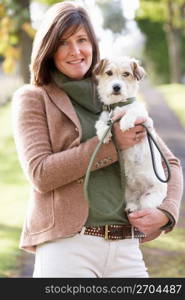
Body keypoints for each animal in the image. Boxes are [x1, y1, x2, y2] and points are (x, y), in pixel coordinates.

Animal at [93, 55, 167, 211]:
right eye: (109, 73)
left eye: (126, 74)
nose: (116, 87)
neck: (118, 105)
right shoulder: (105, 117)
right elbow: (101, 123)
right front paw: (104, 134)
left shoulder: (147, 122)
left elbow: (133, 111)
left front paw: (125, 122)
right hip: (127, 194)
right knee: (134, 203)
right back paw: (131, 207)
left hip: (149, 199)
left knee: (144, 207)